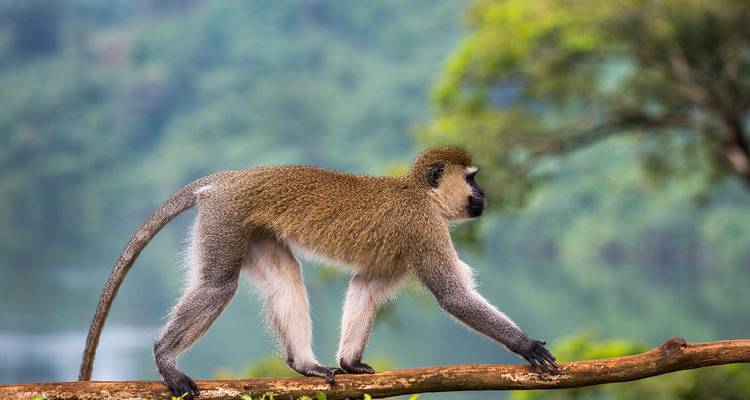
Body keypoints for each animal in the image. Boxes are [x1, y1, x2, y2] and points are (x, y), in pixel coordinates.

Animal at [79, 146, 558, 400]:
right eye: (473, 179)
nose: (484, 194)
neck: (421, 195)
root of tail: (229, 178)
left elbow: (365, 286)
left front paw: (349, 362)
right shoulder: (423, 228)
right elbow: (453, 297)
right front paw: (525, 345)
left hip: (251, 228)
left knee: (285, 277)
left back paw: (304, 364)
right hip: (225, 217)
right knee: (217, 286)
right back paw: (164, 356)